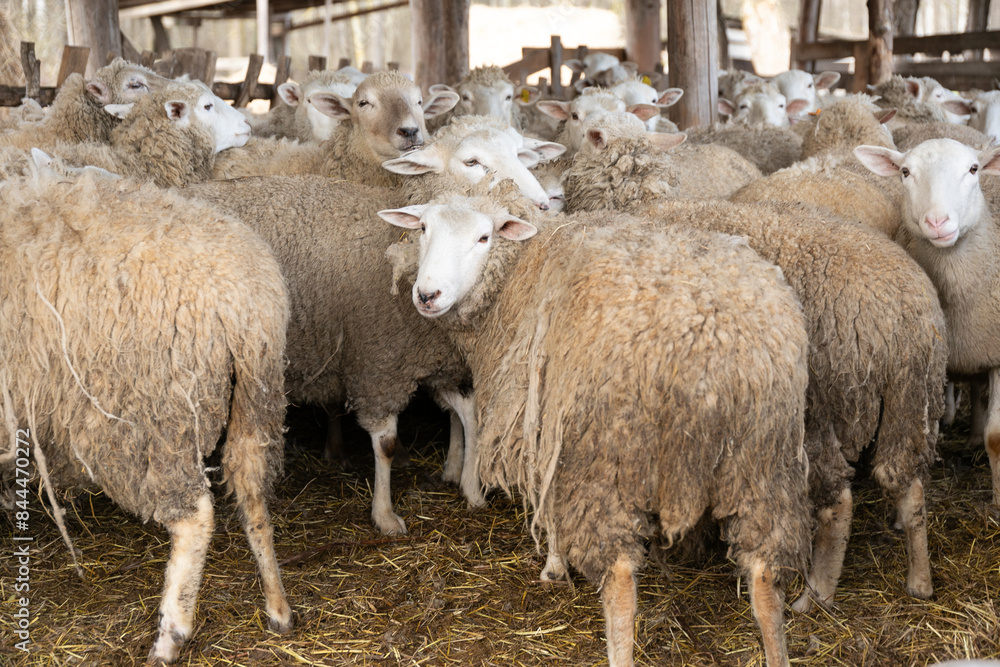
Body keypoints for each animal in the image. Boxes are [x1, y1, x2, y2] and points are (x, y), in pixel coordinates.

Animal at [0, 167, 293, 664]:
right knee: (252, 492)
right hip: (258, 400)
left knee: (195, 517)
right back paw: (277, 607)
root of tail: (242, 300)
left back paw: (170, 635)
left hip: (145, 415)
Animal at [379, 185, 813, 667]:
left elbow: (545, 497)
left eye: (484, 237)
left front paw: (553, 565)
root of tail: (710, 345)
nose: (427, 294)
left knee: (621, 577)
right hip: (762, 458)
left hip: (611, 455)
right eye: (422, 227)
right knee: (764, 574)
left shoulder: (543, 415)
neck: (518, 268)